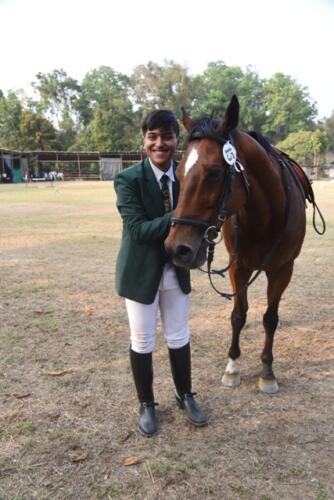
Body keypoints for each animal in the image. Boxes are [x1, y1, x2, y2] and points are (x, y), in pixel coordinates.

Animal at [166, 94, 324, 394]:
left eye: (214, 173)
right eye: (178, 173)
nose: (177, 249)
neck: (265, 214)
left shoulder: (282, 269)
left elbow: (270, 318)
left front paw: (267, 372)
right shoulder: (237, 266)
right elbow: (238, 315)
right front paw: (232, 368)